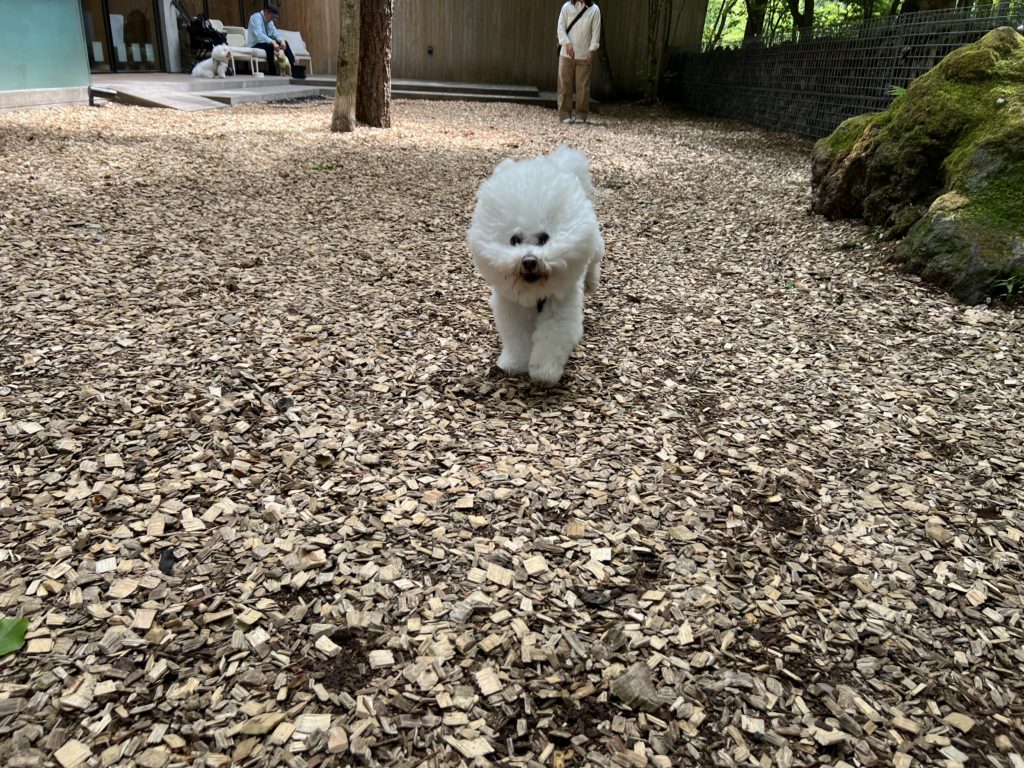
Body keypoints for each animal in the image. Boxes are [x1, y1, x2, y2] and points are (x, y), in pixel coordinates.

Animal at [467, 145, 604, 386]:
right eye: (514, 239)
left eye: (543, 238)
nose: (529, 261)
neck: (535, 293)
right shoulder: (513, 311)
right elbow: (518, 340)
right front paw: (513, 365)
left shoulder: (561, 311)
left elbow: (551, 339)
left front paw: (544, 373)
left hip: (594, 244)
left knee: (594, 258)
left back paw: (591, 281)